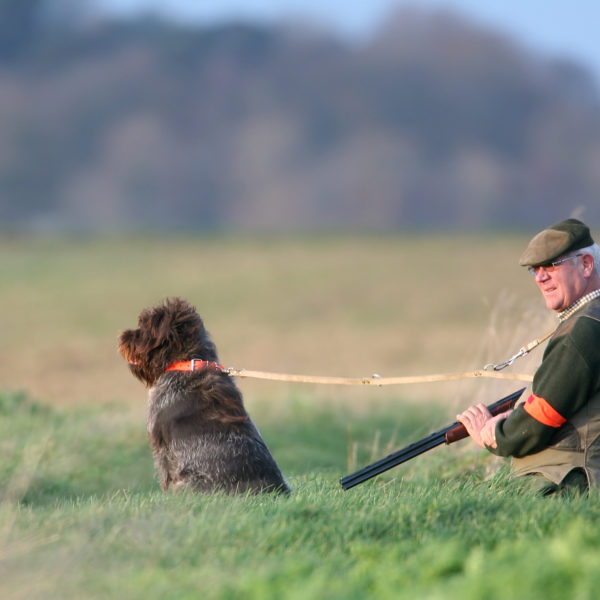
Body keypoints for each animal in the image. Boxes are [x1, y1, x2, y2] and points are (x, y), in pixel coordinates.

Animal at [118, 296, 290, 496]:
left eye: (144, 326)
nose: (123, 336)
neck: (188, 362)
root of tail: (275, 490)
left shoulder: (161, 447)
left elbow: (165, 477)